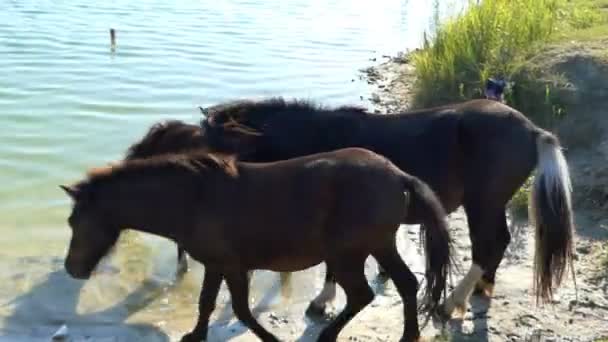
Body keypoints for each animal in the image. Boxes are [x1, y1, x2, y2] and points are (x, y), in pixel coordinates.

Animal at [60, 148, 452, 342]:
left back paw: (328, 336)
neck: (194, 199)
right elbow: (206, 303)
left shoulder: (232, 266)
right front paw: (195, 335)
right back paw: (408, 336)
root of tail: (399, 175)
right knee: (407, 284)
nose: (71, 269)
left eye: (75, 222)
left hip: (347, 256)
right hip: (380, 245)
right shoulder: (216, 264)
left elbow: (241, 310)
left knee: (361, 295)